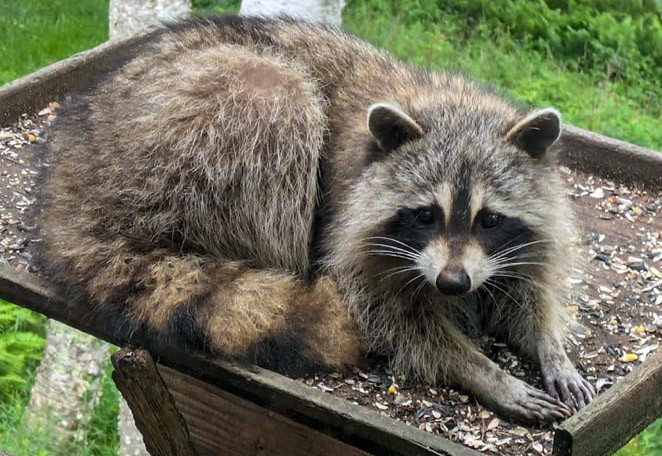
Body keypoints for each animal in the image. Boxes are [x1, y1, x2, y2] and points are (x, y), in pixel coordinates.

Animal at [36, 16, 596, 424]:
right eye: (424, 214)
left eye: (490, 220)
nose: (452, 283)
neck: (449, 104)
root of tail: (71, 182)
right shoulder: (349, 226)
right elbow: (393, 317)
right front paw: (478, 368)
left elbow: (525, 287)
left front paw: (549, 345)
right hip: (194, 140)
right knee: (280, 103)